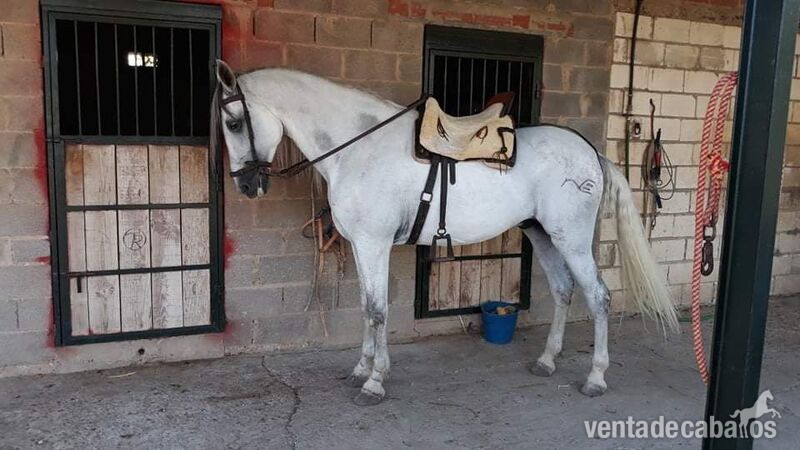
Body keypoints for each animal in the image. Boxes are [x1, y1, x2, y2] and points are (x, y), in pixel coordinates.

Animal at [210, 60, 679, 406]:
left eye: (232, 123)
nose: (246, 186)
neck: (358, 149)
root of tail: (590, 152)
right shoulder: (361, 246)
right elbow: (365, 307)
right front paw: (361, 369)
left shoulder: (374, 244)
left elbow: (378, 310)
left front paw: (375, 382)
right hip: (542, 235)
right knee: (564, 290)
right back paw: (547, 361)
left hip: (572, 238)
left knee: (598, 296)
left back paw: (595, 378)